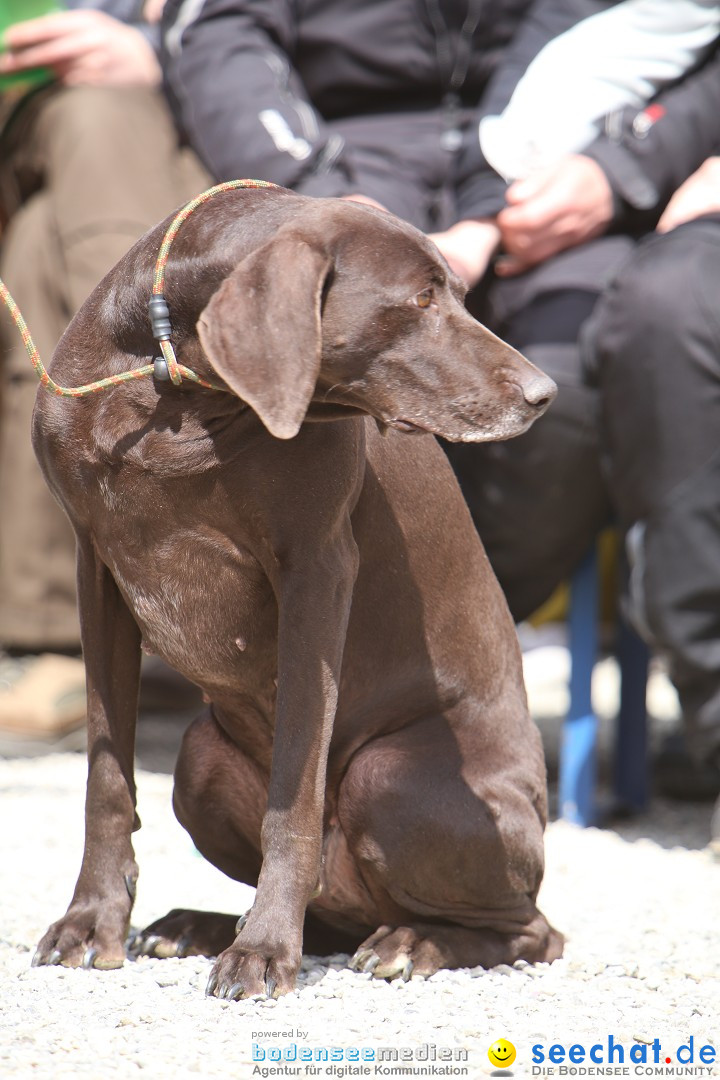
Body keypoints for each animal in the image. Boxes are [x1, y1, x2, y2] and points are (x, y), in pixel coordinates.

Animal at [32, 183, 561, 993]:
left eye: (460, 294)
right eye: (420, 297)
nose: (544, 393)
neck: (177, 388)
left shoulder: (315, 572)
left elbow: (294, 793)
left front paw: (263, 949)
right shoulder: (97, 569)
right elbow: (106, 775)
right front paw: (93, 921)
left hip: (389, 775)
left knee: (530, 929)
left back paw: (410, 942)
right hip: (199, 759)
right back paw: (200, 924)